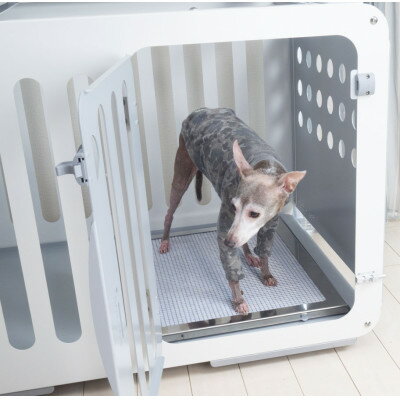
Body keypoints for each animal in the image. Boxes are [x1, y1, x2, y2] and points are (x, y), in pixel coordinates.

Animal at [159, 107, 306, 315]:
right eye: (234, 207)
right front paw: (238, 299)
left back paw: (248, 254)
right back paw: (164, 240)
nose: (229, 242)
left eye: (254, 214)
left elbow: (264, 249)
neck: (265, 168)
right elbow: (231, 264)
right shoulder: (227, 215)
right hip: (183, 166)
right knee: (170, 210)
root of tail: (201, 110)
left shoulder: (271, 223)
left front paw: (265, 272)